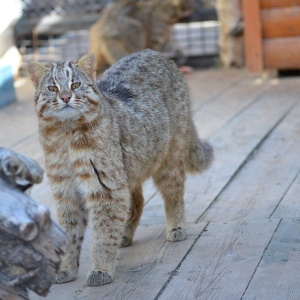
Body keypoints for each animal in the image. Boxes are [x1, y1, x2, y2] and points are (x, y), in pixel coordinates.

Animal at [28, 49, 213, 286]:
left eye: (76, 85)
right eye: (52, 88)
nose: (66, 97)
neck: (66, 136)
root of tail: (156, 54)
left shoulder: (105, 189)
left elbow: (103, 235)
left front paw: (101, 268)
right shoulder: (67, 192)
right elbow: (70, 234)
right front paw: (66, 268)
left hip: (168, 160)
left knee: (173, 194)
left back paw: (176, 226)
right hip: (129, 170)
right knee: (138, 201)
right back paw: (125, 234)